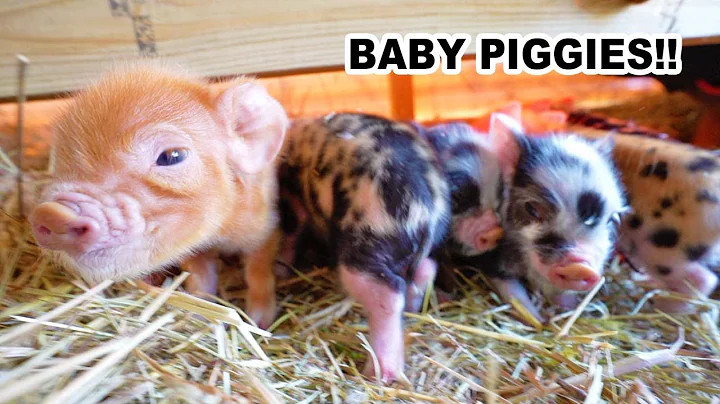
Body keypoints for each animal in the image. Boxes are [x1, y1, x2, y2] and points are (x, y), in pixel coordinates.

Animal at [27, 62, 288, 328]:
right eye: (59, 159)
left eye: (172, 156)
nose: (52, 213)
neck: (218, 233)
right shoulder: (193, 252)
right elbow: (200, 276)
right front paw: (197, 314)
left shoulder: (265, 223)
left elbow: (259, 268)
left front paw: (259, 322)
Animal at [273, 112, 452, 383]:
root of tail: (425, 210)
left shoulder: (294, 203)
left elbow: (291, 233)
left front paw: (280, 274)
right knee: (426, 269)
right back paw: (412, 308)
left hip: (367, 243)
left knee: (389, 291)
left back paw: (378, 374)